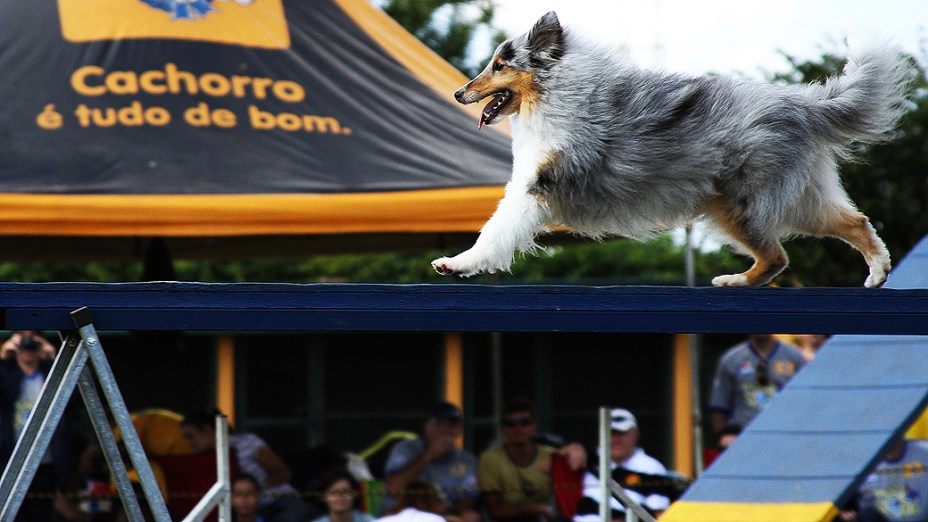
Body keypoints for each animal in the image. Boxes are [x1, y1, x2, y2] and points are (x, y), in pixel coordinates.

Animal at [432, 11, 908, 284]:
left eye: (499, 65)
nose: (457, 93)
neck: (554, 91)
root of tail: (801, 104)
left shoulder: (537, 186)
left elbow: (496, 229)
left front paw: (456, 263)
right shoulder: (532, 184)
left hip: (743, 203)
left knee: (778, 256)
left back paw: (734, 281)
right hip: (783, 200)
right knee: (851, 222)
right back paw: (878, 271)